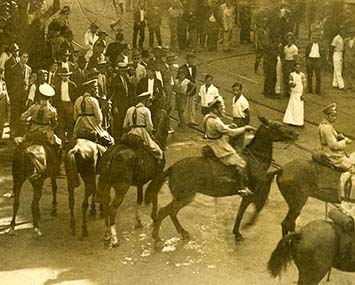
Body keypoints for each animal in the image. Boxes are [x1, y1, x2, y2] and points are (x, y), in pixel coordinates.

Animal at [96, 108, 170, 246]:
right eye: (168, 120)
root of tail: (111, 156)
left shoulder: (140, 183)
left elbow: (139, 199)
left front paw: (138, 222)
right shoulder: (157, 176)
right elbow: (154, 196)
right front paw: (154, 217)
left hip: (106, 185)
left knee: (106, 206)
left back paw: (107, 234)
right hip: (121, 188)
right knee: (112, 209)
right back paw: (114, 239)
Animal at [146, 116, 298, 245]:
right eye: (277, 126)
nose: (295, 134)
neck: (256, 157)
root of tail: (172, 168)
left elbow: (248, 210)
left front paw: (238, 231)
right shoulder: (251, 195)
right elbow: (248, 211)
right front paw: (242, 229)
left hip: (183, 197)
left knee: (171, 212)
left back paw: (182, 233)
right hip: (185, 196)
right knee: (164, 211)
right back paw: (157, 239)